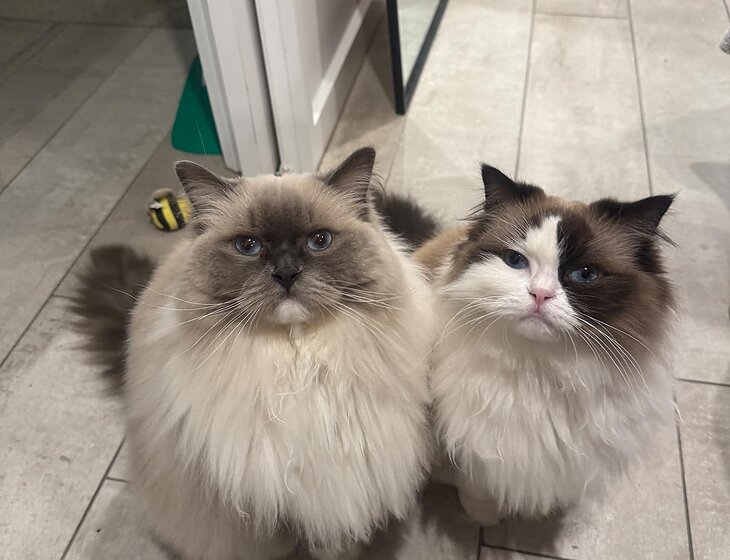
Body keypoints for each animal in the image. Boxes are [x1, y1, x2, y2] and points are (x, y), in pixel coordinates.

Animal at [412, 164, 676, 524]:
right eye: (515, 261)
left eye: (584, 273)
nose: (540, 294)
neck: (541, 371)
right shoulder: (473, 442)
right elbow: (475, 483)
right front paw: (484, 516)